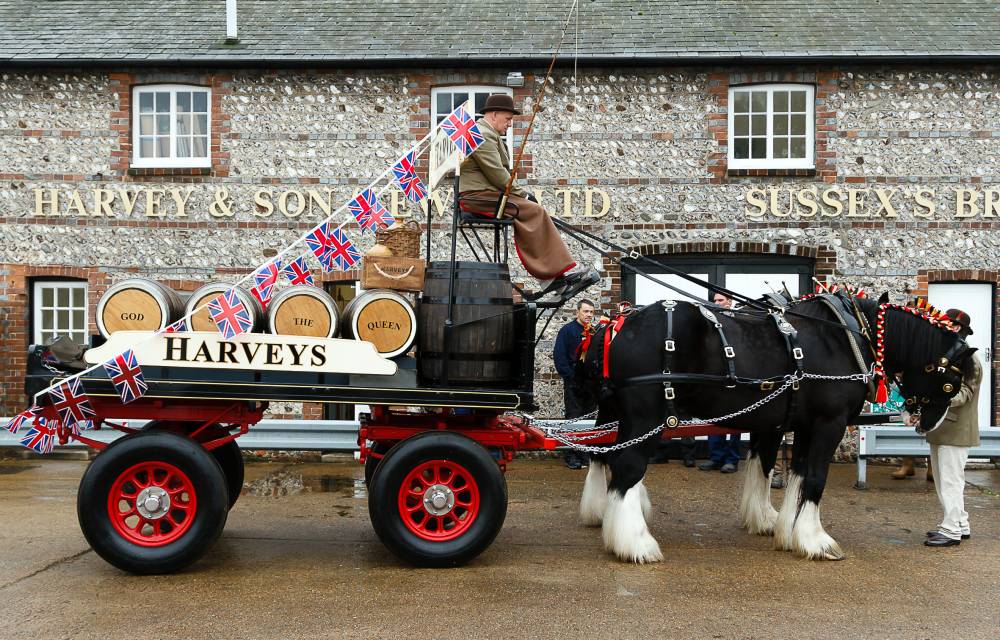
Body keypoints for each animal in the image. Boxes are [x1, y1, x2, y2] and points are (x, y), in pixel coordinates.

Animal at [576, 292, 972, 564]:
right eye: (952, 379)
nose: (931, 423)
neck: (844, 335)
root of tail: (616, 326)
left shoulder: (795, 424)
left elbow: (787, 472)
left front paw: (782, 528)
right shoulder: (829, 423)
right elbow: (814, 479)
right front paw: (815, 540)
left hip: (618, 414)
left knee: (603, 456)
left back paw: (604, 517)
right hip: (647, 415)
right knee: (627, 468)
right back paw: (634, 543)